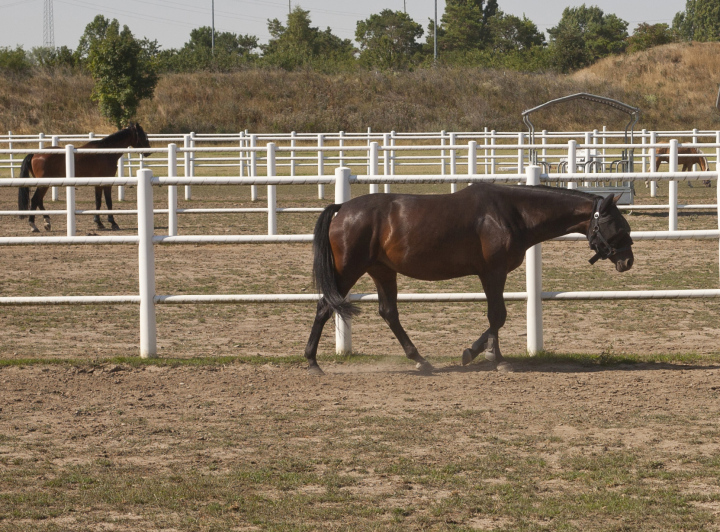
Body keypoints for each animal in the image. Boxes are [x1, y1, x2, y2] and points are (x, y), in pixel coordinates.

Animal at [18, 125, 151, 234]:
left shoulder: (98, 183)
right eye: (143, 135)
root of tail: (35, 154)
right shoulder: (107, 182)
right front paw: (113, 223)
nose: (148, 151)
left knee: (39, 201)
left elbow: (98, 201)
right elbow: (108, 202)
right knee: (35, 200)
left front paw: (99, 223)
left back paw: (47, 222)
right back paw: (33, 225)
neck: (105, 152)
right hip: (43, 184)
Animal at [304, 185, 636, 376]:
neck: (510, 212)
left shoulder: (492, 274)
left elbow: (496, 317)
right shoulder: (493, 272)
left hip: (382, 271)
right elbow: (498, 315)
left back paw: (420, 359)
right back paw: (312, 362)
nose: (628, 261)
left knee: (389, 313)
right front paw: (491, 357)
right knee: (324, 307)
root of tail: (343, 209)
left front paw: (482, 351)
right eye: (618, 226)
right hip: (348, 270)